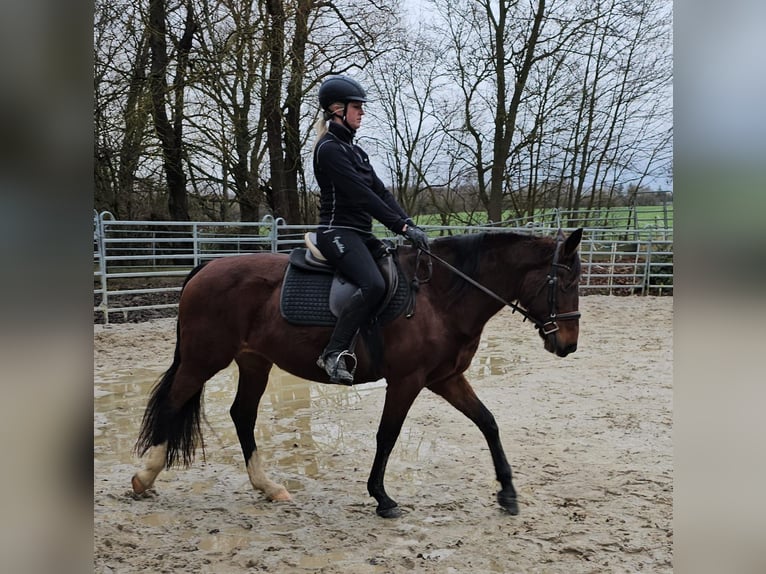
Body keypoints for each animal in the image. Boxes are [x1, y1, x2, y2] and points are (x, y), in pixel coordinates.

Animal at [134, 227, 588, 520]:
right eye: (567, 282)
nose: (568, 344)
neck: (439, 297)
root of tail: (206, 267)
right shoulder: (408, 380)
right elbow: (388, 435)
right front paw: (382, 497)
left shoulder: (445, 379)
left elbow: (488, 422)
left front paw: (507, 493)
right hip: (203, 359)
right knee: (174, 403)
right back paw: (145, 477)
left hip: (254, 361)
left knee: (242, 415)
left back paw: (268, 487)